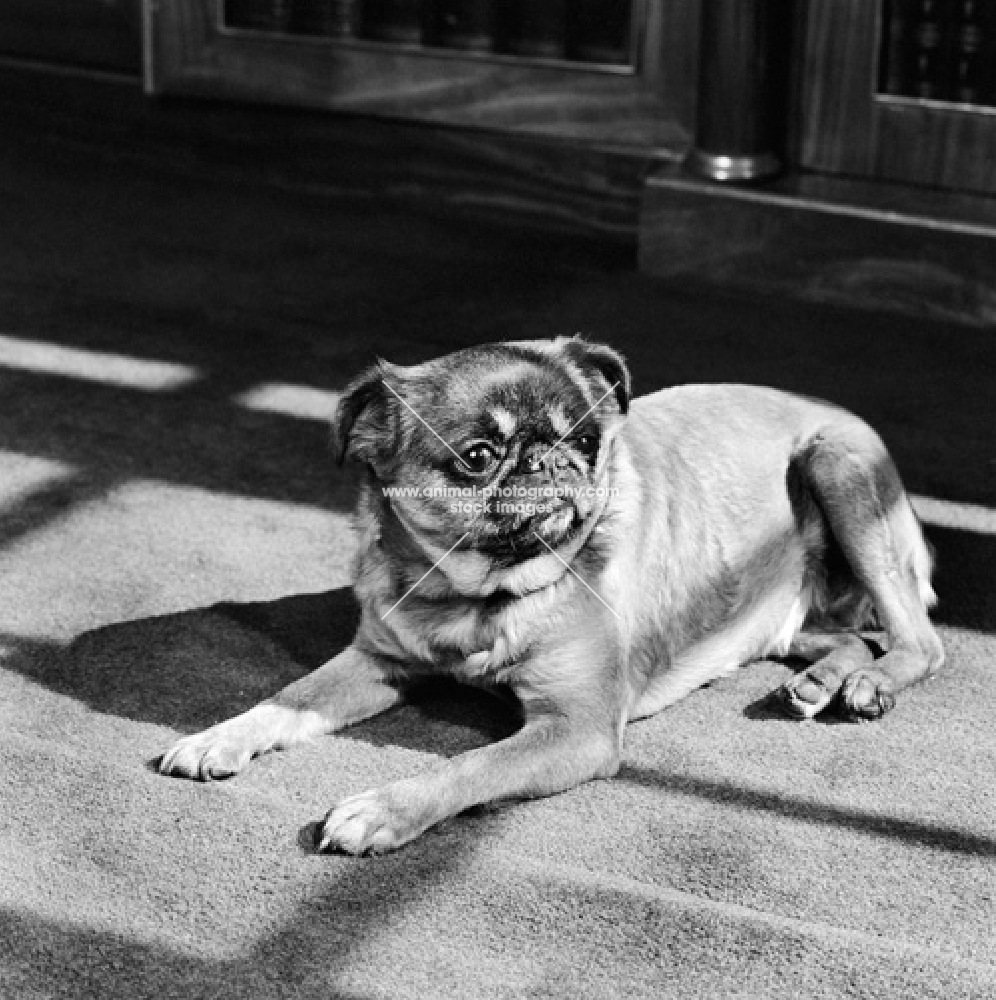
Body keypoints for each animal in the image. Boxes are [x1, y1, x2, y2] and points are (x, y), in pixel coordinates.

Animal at [160, 336, 944, 852]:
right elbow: (289, 697)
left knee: (922, 642)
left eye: (590, 441)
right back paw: (818, 683)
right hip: (788, 609)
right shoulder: (377, 661)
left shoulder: (575, 730)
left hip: (838, 469)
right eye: (478, 457)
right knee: (843, 635)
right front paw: (218, 736)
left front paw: (383, 810)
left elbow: (468, 764)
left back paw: (872, 684)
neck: (476, 595)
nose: (554, 458)